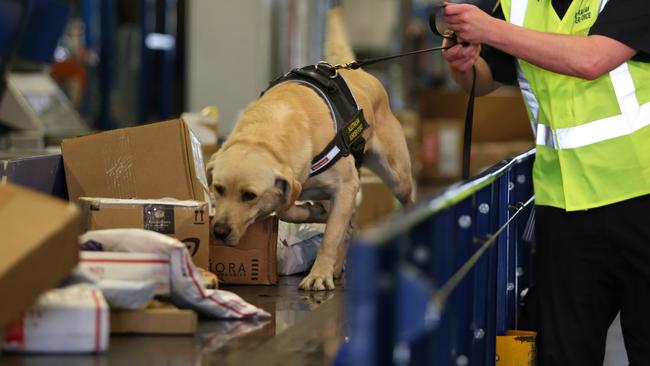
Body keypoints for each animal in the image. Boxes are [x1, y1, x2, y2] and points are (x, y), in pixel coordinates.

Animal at [205, 7, 412, 290]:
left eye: (249, 195)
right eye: (218, 189)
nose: (219, 231)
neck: (267, 137)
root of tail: (354, 70)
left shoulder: (346, 186)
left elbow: (330, 235)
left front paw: (319, 274)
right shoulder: (297, 186)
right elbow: (290, 210)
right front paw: (314, 212)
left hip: (397, 176)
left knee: (406, 199)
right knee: (348, 223)